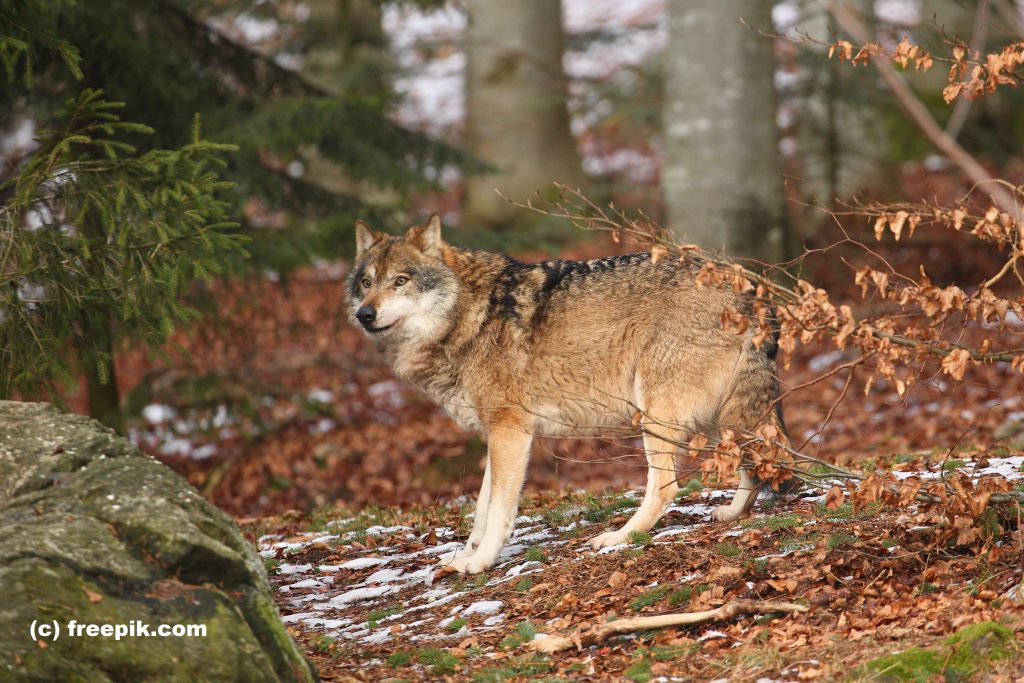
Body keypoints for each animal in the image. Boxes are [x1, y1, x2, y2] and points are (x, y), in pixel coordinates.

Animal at [348, 215, 788, 574]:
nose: (364, 314)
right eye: (367, 283)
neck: (470, 316)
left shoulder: (511, 430)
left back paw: (618, 538)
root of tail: (748, 290)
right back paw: (733, 513)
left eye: (400, 281)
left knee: (666, 487)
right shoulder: (497, 432)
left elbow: (498, 509)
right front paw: (465, 556)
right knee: (757, 458)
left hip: (657, 414)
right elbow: (481, 508)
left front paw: (482, 562)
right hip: (719, 416)